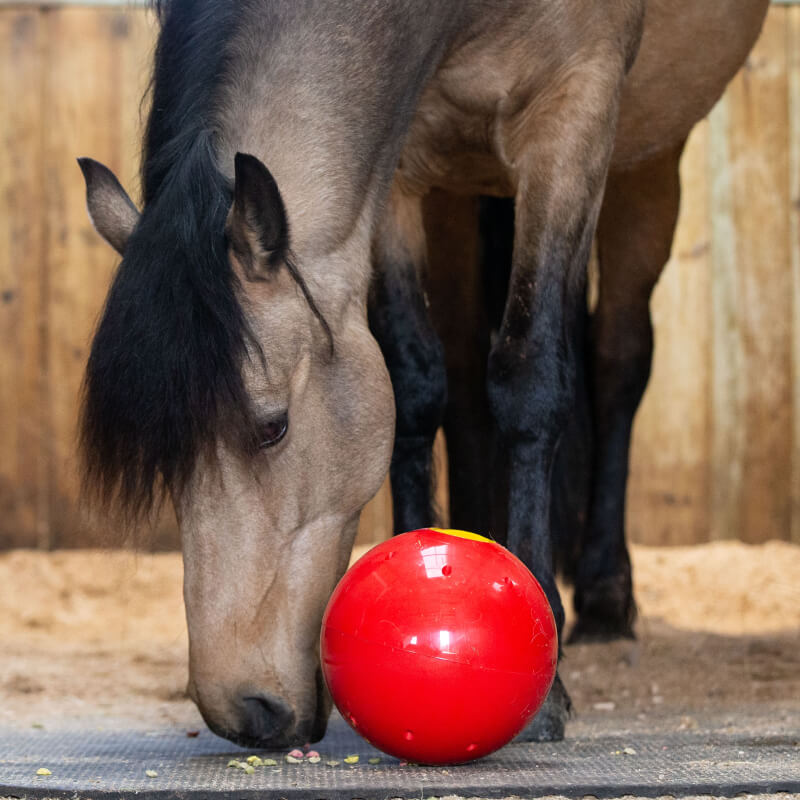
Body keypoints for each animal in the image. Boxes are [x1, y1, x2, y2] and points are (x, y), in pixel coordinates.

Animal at [78, 0, 768, 748]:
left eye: (271, 428)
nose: (244, 713)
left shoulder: (572, 114)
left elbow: (531, 380)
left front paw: (546, 686)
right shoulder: (396, 170)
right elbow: (413, 385)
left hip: (647, 155)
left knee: (617, 360)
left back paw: (606, 599)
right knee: (464, 370)